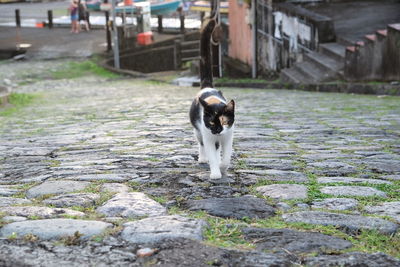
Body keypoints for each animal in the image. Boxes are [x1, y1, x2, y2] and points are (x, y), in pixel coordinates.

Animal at [190, 4, 236, 179]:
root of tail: (207, 86)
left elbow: (227, 155)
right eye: (211, 122)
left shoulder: (228, 135)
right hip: (198, 130)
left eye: (223, 121)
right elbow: (211, 152)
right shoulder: (207, 133)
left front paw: (223, 167)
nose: (217, 130)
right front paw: (216, 173)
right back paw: (203, 158)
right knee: (201, 144)